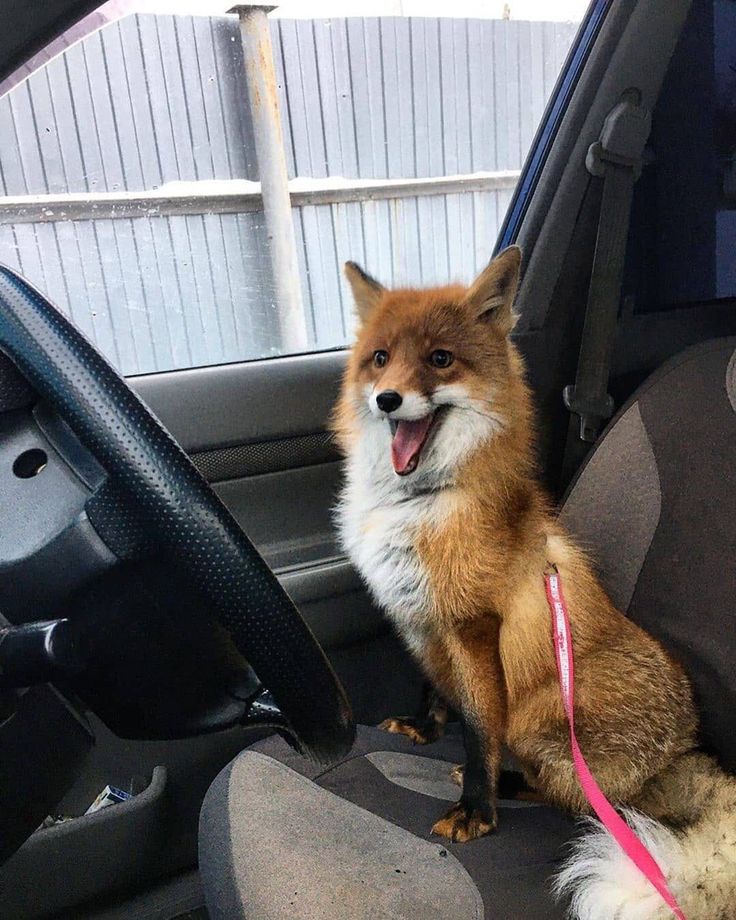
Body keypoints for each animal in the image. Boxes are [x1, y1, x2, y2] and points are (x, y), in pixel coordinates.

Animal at [332, 246, 736, 920]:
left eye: (440, 359)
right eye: (381, 358)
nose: (387, 399)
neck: (420, 502)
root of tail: (684, 749)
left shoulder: (474, 628)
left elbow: (477, 733)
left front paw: (477, 807)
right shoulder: (428, 621)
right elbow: (435, 690)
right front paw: (426, 729)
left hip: (541, 722)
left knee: (585, 802)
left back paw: (513, 784)